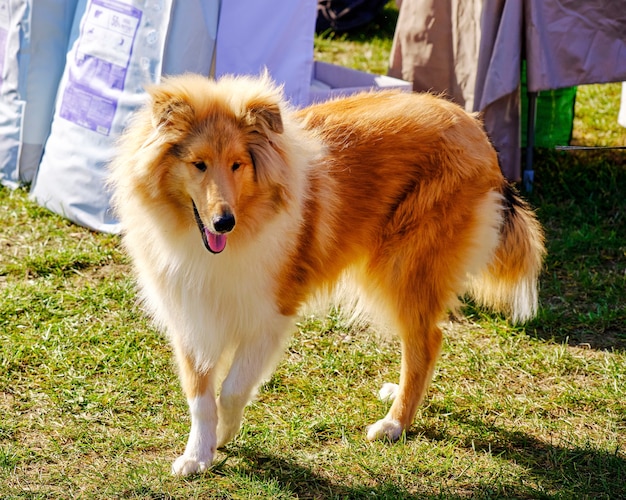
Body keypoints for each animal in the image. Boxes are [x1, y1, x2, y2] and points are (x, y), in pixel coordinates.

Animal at [107, 72, 540, 474]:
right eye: (198, 164)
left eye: (237, 164)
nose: (224, 223)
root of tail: (474, 127)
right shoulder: (191, 314)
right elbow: (199, 397)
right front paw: (197, 455)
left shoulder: (269, 316)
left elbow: (231, 389)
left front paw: (224, 436)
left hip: (404, 268)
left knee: (427, 342)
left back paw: (394, 424)